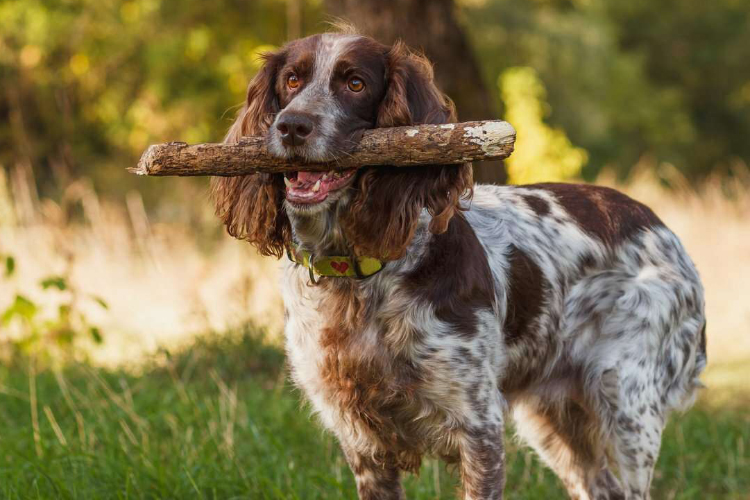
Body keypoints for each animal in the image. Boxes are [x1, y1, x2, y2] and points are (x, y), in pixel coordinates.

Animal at [213, 30, 712, 500]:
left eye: (355, 83)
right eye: (292, 80)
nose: (292, 125)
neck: (358, 278)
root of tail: (660, 226)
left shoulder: (479, 428)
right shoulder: (361, 442)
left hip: (626, 403)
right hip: (554, 420)